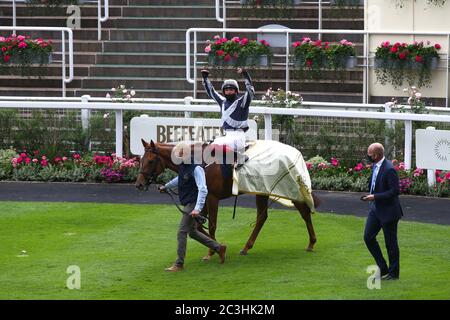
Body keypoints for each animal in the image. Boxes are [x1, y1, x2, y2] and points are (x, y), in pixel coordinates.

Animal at [134, 139, 320, 260]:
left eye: (150, 161)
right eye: (141, 159)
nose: (139, 184)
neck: (200, 161)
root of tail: (296, 152)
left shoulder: (211, 197)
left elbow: (212, 225)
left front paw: (212, 251)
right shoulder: (203, 198)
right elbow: (199, 226)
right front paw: (215, 246)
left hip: (291, 189)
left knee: (304, 212)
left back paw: (312, 243)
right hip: (262, 191)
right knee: (262, 217)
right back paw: (246, 247)